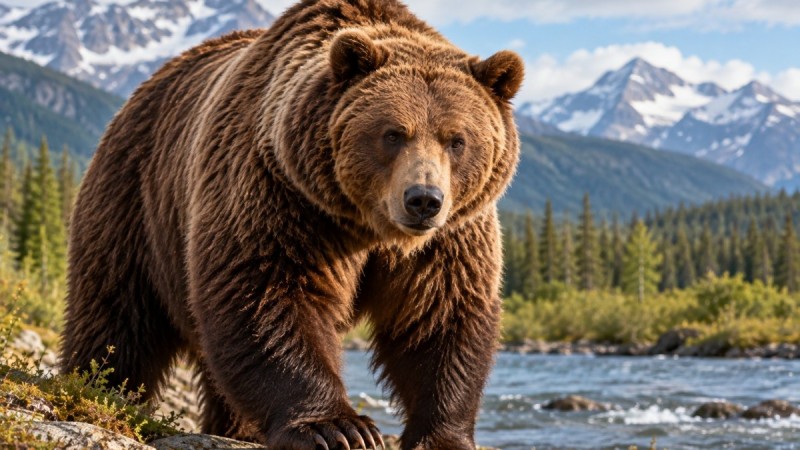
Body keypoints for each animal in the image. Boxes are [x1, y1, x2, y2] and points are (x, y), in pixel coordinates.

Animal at [60, 0, 523, 449]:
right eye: (393, 133)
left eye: (457, 139)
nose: (423, 199)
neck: (368, 225)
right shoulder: (281, 197)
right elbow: (269, 293)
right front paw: (338, 428)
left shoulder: (449, 239)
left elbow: (439, 317)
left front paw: (442, 435)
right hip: (135, 200)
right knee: (117, 315)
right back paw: (95, 386)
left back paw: (238, 429)